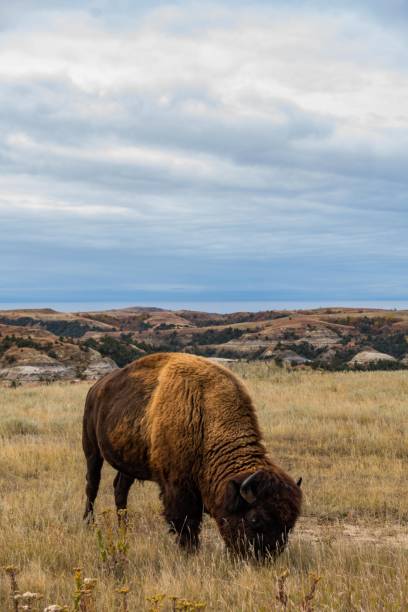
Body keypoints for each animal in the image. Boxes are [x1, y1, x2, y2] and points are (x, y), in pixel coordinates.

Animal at [81, 352, 302, 556]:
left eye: (290, 523)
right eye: (255, 519)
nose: (265, 557)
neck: (204, 417)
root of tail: (95, 388)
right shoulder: (177, 486)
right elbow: (185, 521)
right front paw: (190, 551)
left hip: (128, 463)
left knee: (120, 489)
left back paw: (124, 528)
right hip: (91, 450)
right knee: (92, 485)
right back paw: (88, 524)